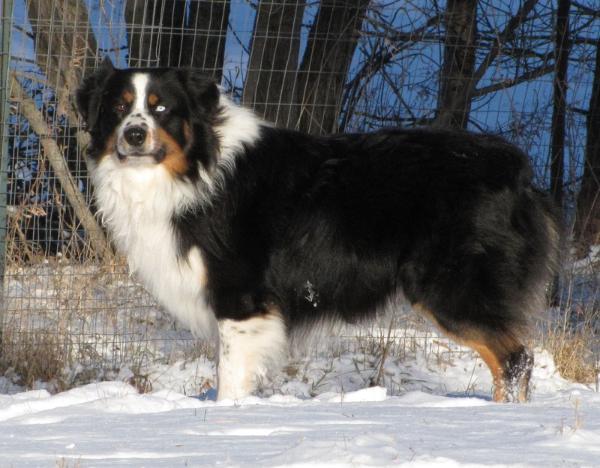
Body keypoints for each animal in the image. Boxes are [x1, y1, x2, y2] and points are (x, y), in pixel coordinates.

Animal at [77, 58, 560, 402]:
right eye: (118, 107)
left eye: (162, 108)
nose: (134, 134)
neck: (193, 170)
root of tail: (517, 167)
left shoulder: (241, 300)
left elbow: (230, 379)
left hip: (450, 288)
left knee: (516, 359)